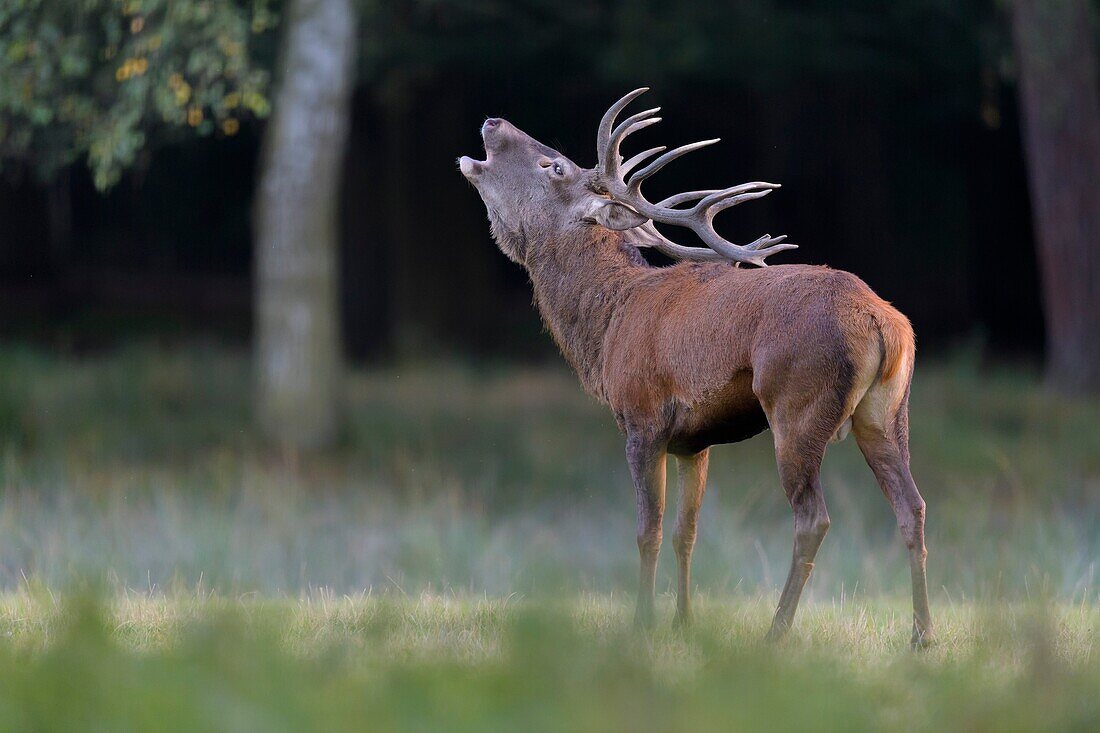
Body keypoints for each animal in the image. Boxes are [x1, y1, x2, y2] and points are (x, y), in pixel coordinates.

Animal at [459, 88, 932, 642]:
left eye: (553, 165)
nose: (493, 120)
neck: (609, 326)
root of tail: (884, 321)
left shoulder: (642, 418)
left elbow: (648, 530)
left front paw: (642, 623)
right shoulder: (694, 440)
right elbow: (687, 532)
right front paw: (684, 621)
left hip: (798, 406)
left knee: (813, 517)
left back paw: (776, 631)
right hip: (887, 411)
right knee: (911, 505)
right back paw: (921, 635)